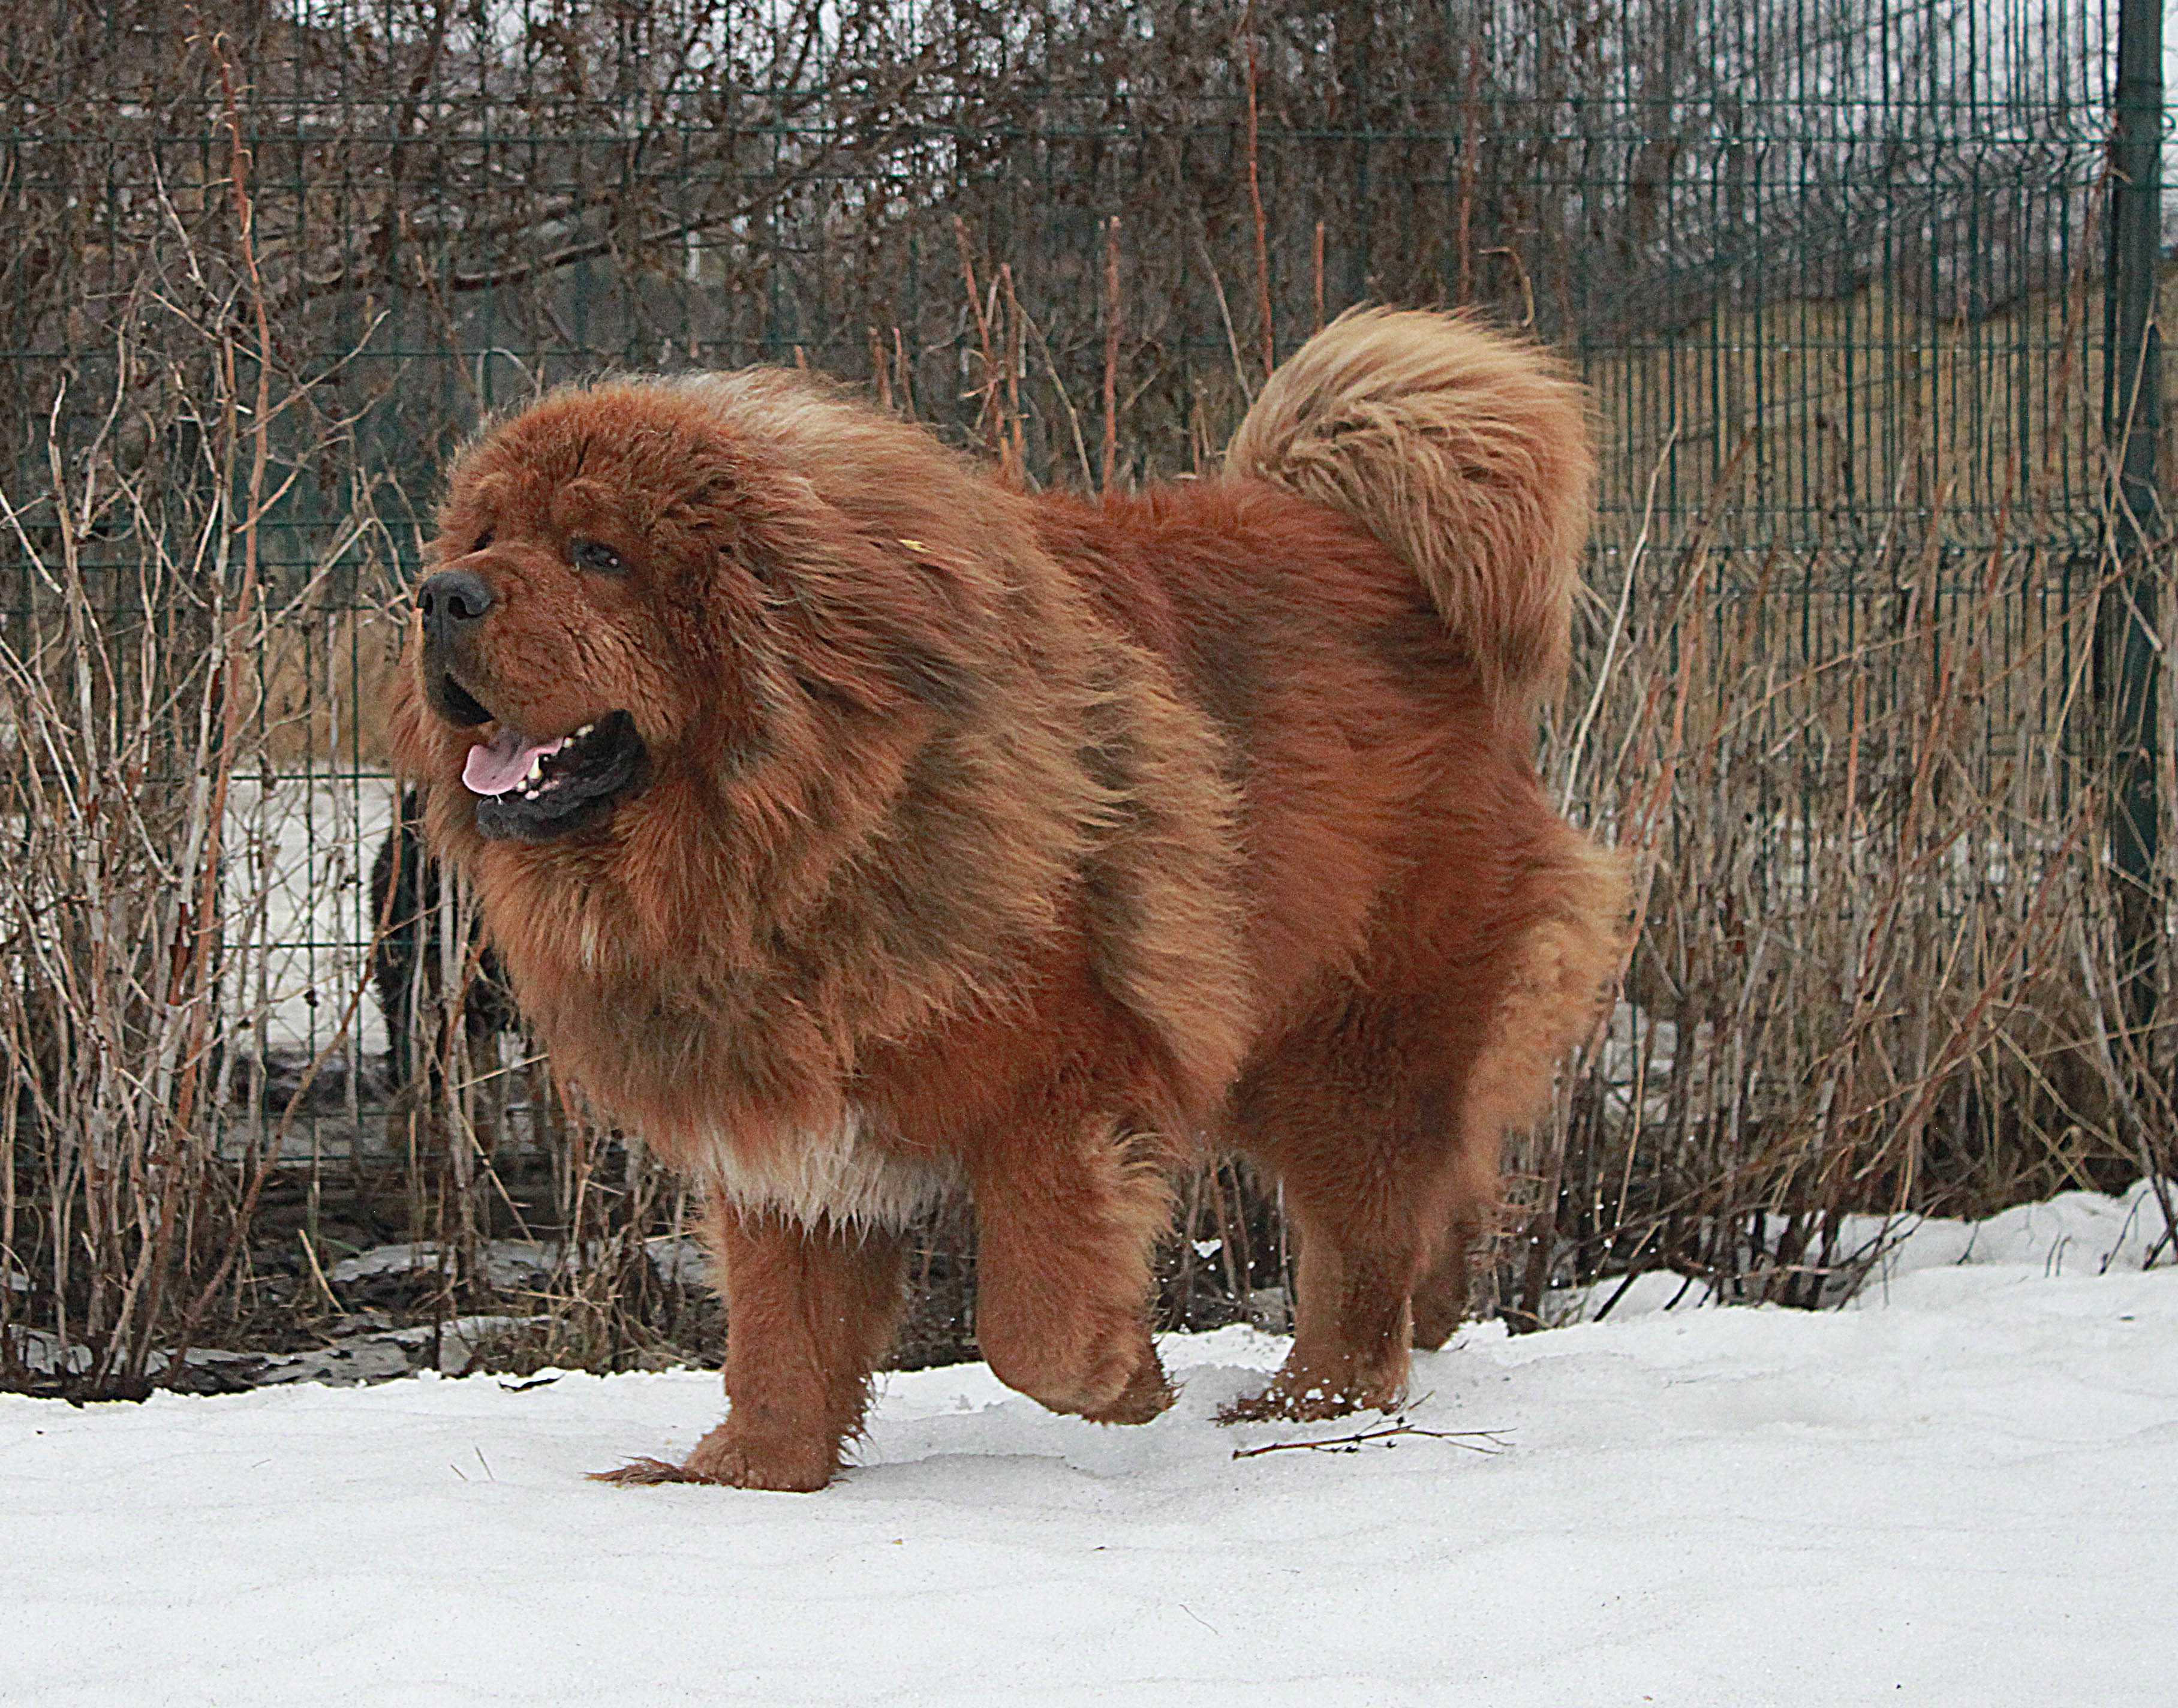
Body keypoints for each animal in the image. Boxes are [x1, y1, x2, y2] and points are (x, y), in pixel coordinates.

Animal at [389, 307, 1628, 1489]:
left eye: (598, 552)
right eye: (486, 538)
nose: (442, 593)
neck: (800, 832)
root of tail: (1376, 552)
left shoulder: (1068, 1082)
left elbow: (1028, 1324)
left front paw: (1126, 1383)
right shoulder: (788, 1132)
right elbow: (783, 1333)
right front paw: (745, 1476)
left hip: (1350, 1039)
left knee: (1362, 1236)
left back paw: (1309, 1403)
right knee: (1436, 1202)